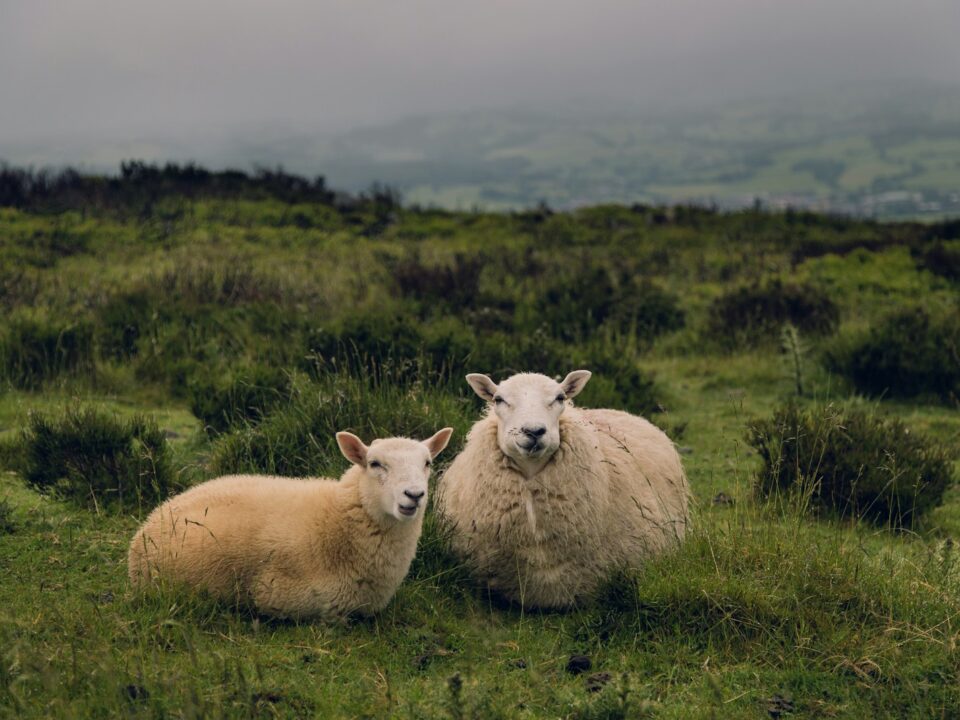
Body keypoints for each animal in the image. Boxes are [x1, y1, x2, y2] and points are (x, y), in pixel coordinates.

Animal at [127, 428, 454, 620]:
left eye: (427, 463)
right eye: (375, 464)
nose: (414, 495)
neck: (338, 521)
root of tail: (154, 517)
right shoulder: (287, 598)